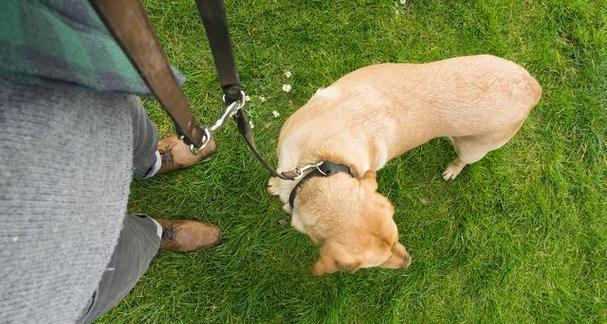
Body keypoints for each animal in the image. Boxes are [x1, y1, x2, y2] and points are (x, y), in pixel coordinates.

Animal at [268, 55, 544, 276]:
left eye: (395, 239)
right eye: (368, 265)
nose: (409, 262)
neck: (322, 162)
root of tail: (534, 87)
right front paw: (274, 184)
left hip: (474, 148)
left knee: (464, 159)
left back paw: (453, 169)